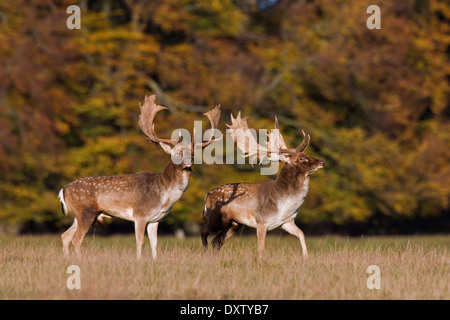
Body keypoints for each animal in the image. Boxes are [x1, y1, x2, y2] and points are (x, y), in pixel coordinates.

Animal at [59, 95, 221, 260]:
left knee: (65, 236)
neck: (164, 195)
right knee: (76, 239)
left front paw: (155, 261)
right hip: (86, 212)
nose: (189, 161)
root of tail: (63, 190)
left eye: (193, 153)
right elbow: (140, 242)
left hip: (79, 215)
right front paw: (139, 260)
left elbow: (154, 244)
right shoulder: (140, 214)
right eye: (178, 152)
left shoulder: (155, 219)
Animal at [200, 112, 324, 260]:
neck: (284, 205)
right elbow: (261, 249)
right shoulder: (261, 221)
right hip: (216, 217)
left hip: (235, 224)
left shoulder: (286, 221)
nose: (321, 162)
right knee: (203, 231)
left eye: (307, 154)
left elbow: (301, 234)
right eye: (301, 158)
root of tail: (207, 195)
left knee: (216, 241)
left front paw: (306, 257)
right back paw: (206, 254)